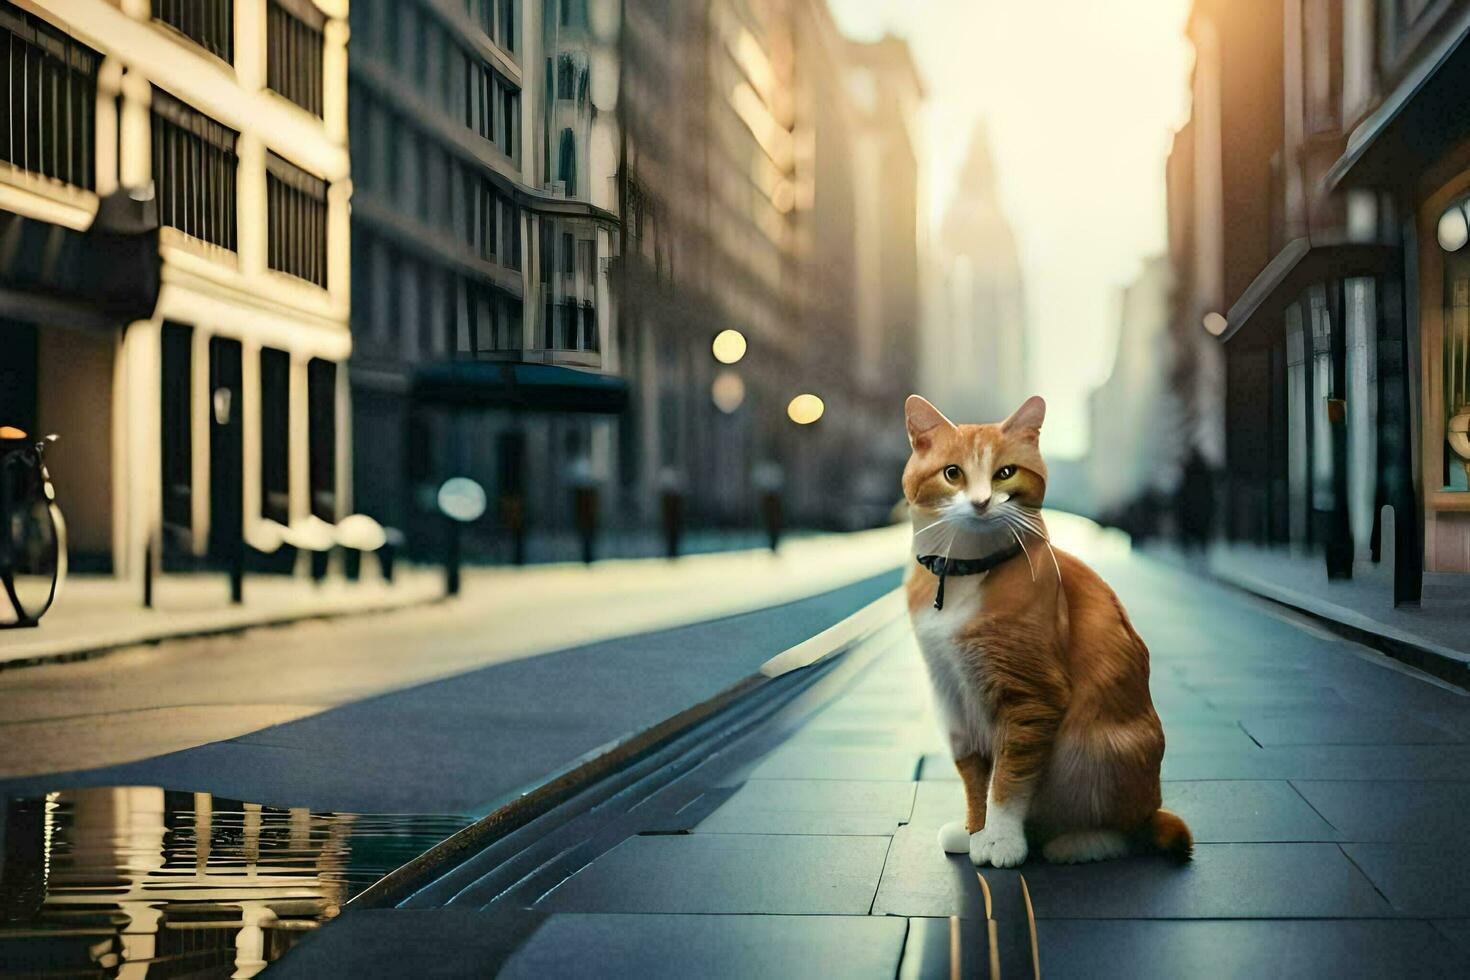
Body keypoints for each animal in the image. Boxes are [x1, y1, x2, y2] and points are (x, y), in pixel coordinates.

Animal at [899, 393, 1187, 869]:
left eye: (1005, 473)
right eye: (952, 473)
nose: (981, 502)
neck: (962, 571)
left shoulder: (1030, 698)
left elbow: (1009, 779)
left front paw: (1000, 840)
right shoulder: (952, 697)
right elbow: (974, 776)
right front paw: (975, 830)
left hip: (1100, 746)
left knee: (1123, 827)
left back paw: (1077, 842)